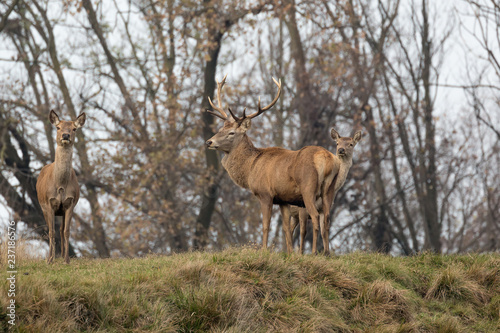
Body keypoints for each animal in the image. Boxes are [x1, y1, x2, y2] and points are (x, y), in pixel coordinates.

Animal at [205, 74, 362, 253]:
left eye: (231, 133)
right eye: (220, 129)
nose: (209, 142)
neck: (251, 167)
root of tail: (327, 159)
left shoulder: (265, 193)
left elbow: (266, 225)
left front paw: (264, 250)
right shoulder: (283, 199)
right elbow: (286, 228)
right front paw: (290, 253)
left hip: (308, 187)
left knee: (315, 217)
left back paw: (314, 252)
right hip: (329, 190)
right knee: (327, 218)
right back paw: (326, 253)